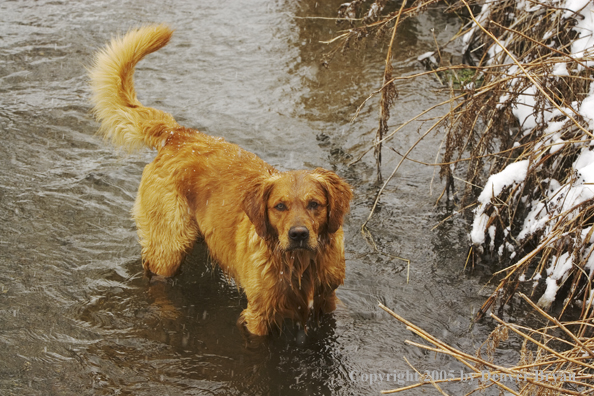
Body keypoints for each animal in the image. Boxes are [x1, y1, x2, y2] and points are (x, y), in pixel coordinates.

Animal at [89, 24, 352, 334]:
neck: (300, 266)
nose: (298, 234)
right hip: (168, 247)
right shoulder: (258, 315)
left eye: (315, 205)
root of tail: (177, 134)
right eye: (279, 206)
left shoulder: (327, 301)